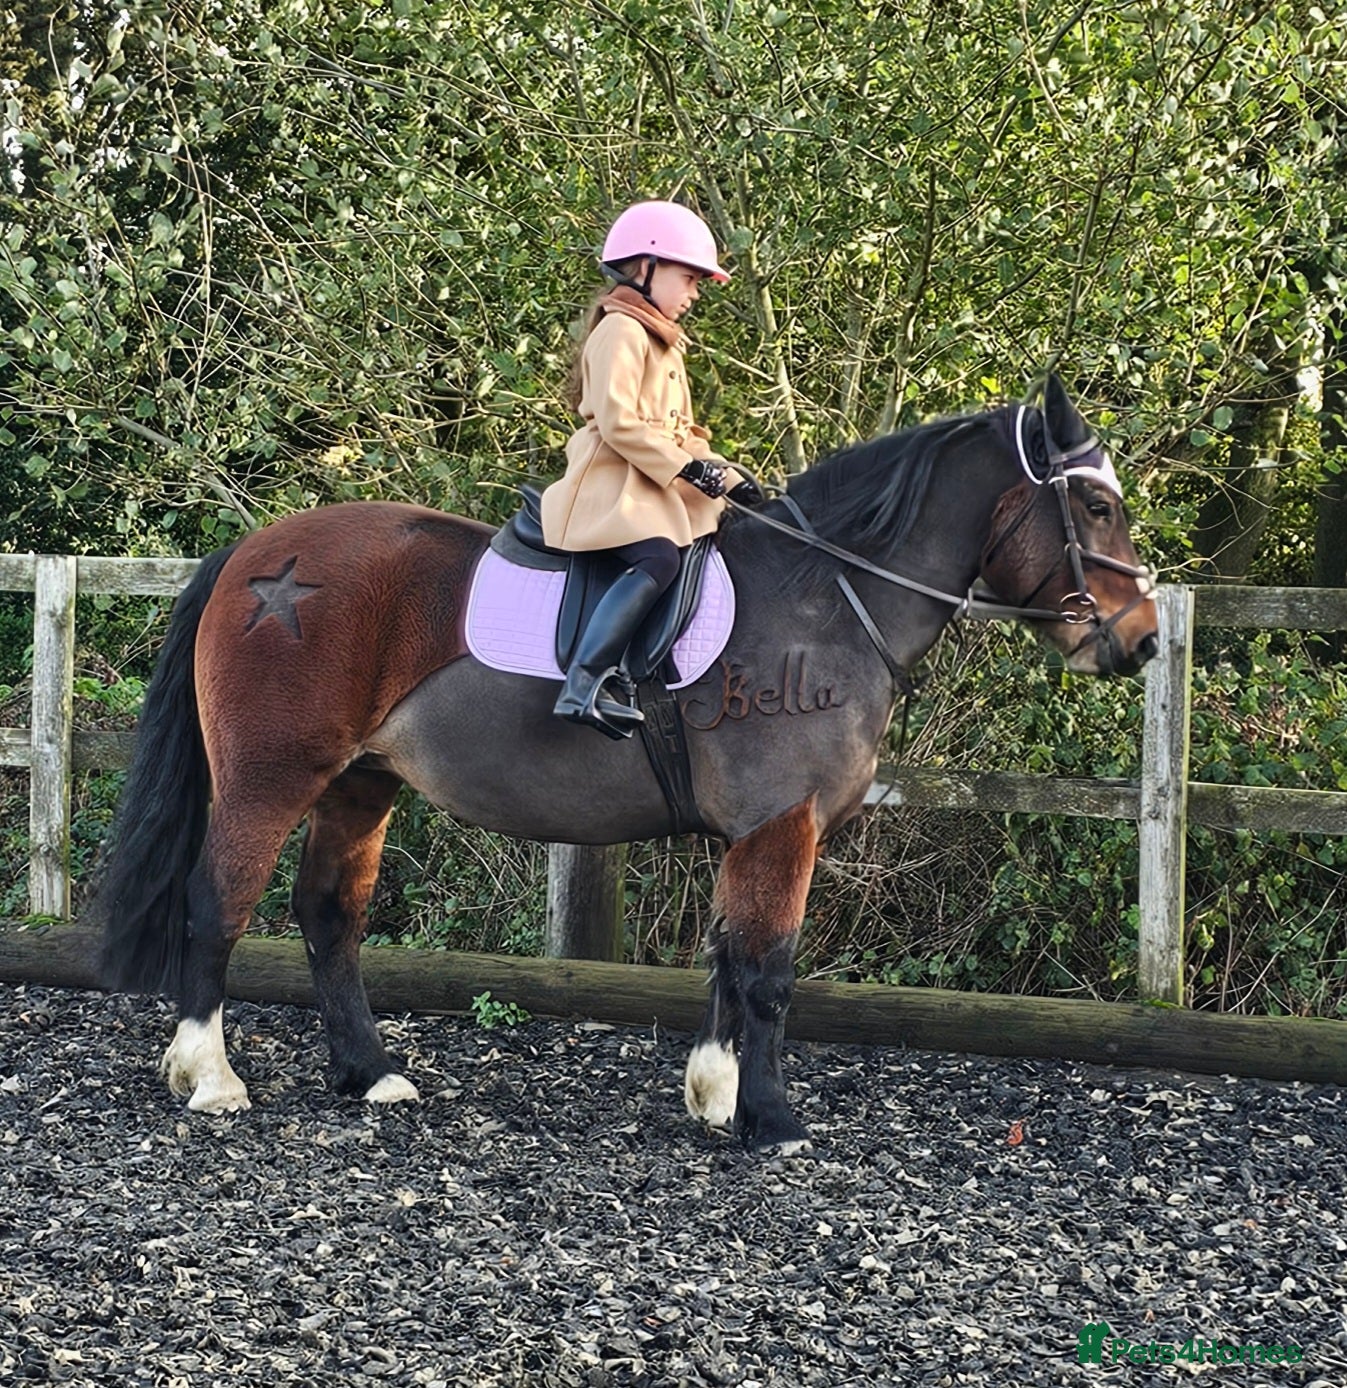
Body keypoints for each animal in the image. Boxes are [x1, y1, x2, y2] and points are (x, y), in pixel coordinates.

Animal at [90, 375, 1158, 1151]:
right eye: (1094, 504)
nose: (1141, 640)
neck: (826, 598)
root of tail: (256, 553)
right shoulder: (784, 823)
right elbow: (769, 970)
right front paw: (771, 1121)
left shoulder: (749, 834)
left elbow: (727, 958)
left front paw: (716, 1095)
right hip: (271, 778)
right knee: (216, 904)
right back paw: (209, 1078)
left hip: (361, 783)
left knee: (329, 916)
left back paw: (368, 1073)